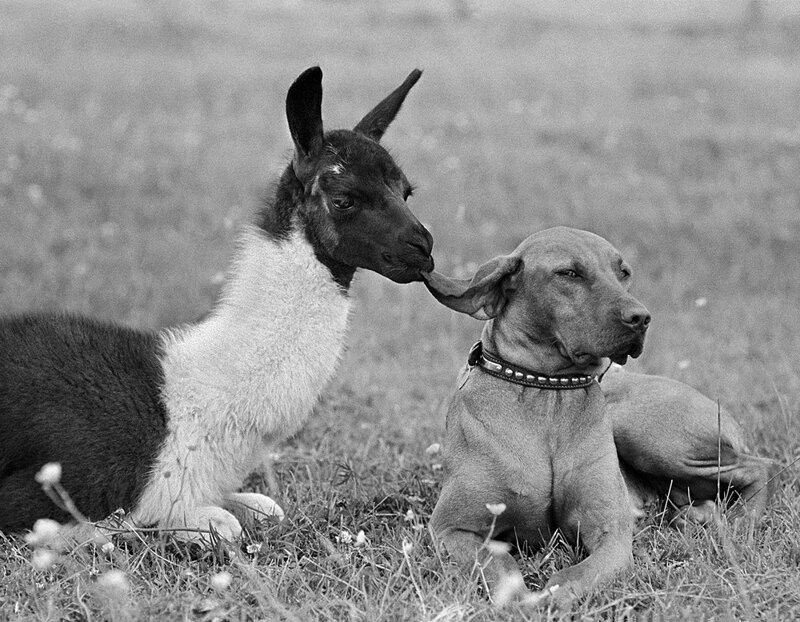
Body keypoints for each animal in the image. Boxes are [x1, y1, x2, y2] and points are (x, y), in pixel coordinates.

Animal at [422, 227, 772, 608]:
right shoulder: (451, 528)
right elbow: (499, 565)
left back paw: (739, 518)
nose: (641, 318)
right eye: (569, 273)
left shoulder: (612, 537)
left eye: (624, 272)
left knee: (761, 465)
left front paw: (550, 599)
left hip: (641, 430)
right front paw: (521, 600)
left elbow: (573, 577)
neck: (547, 390)